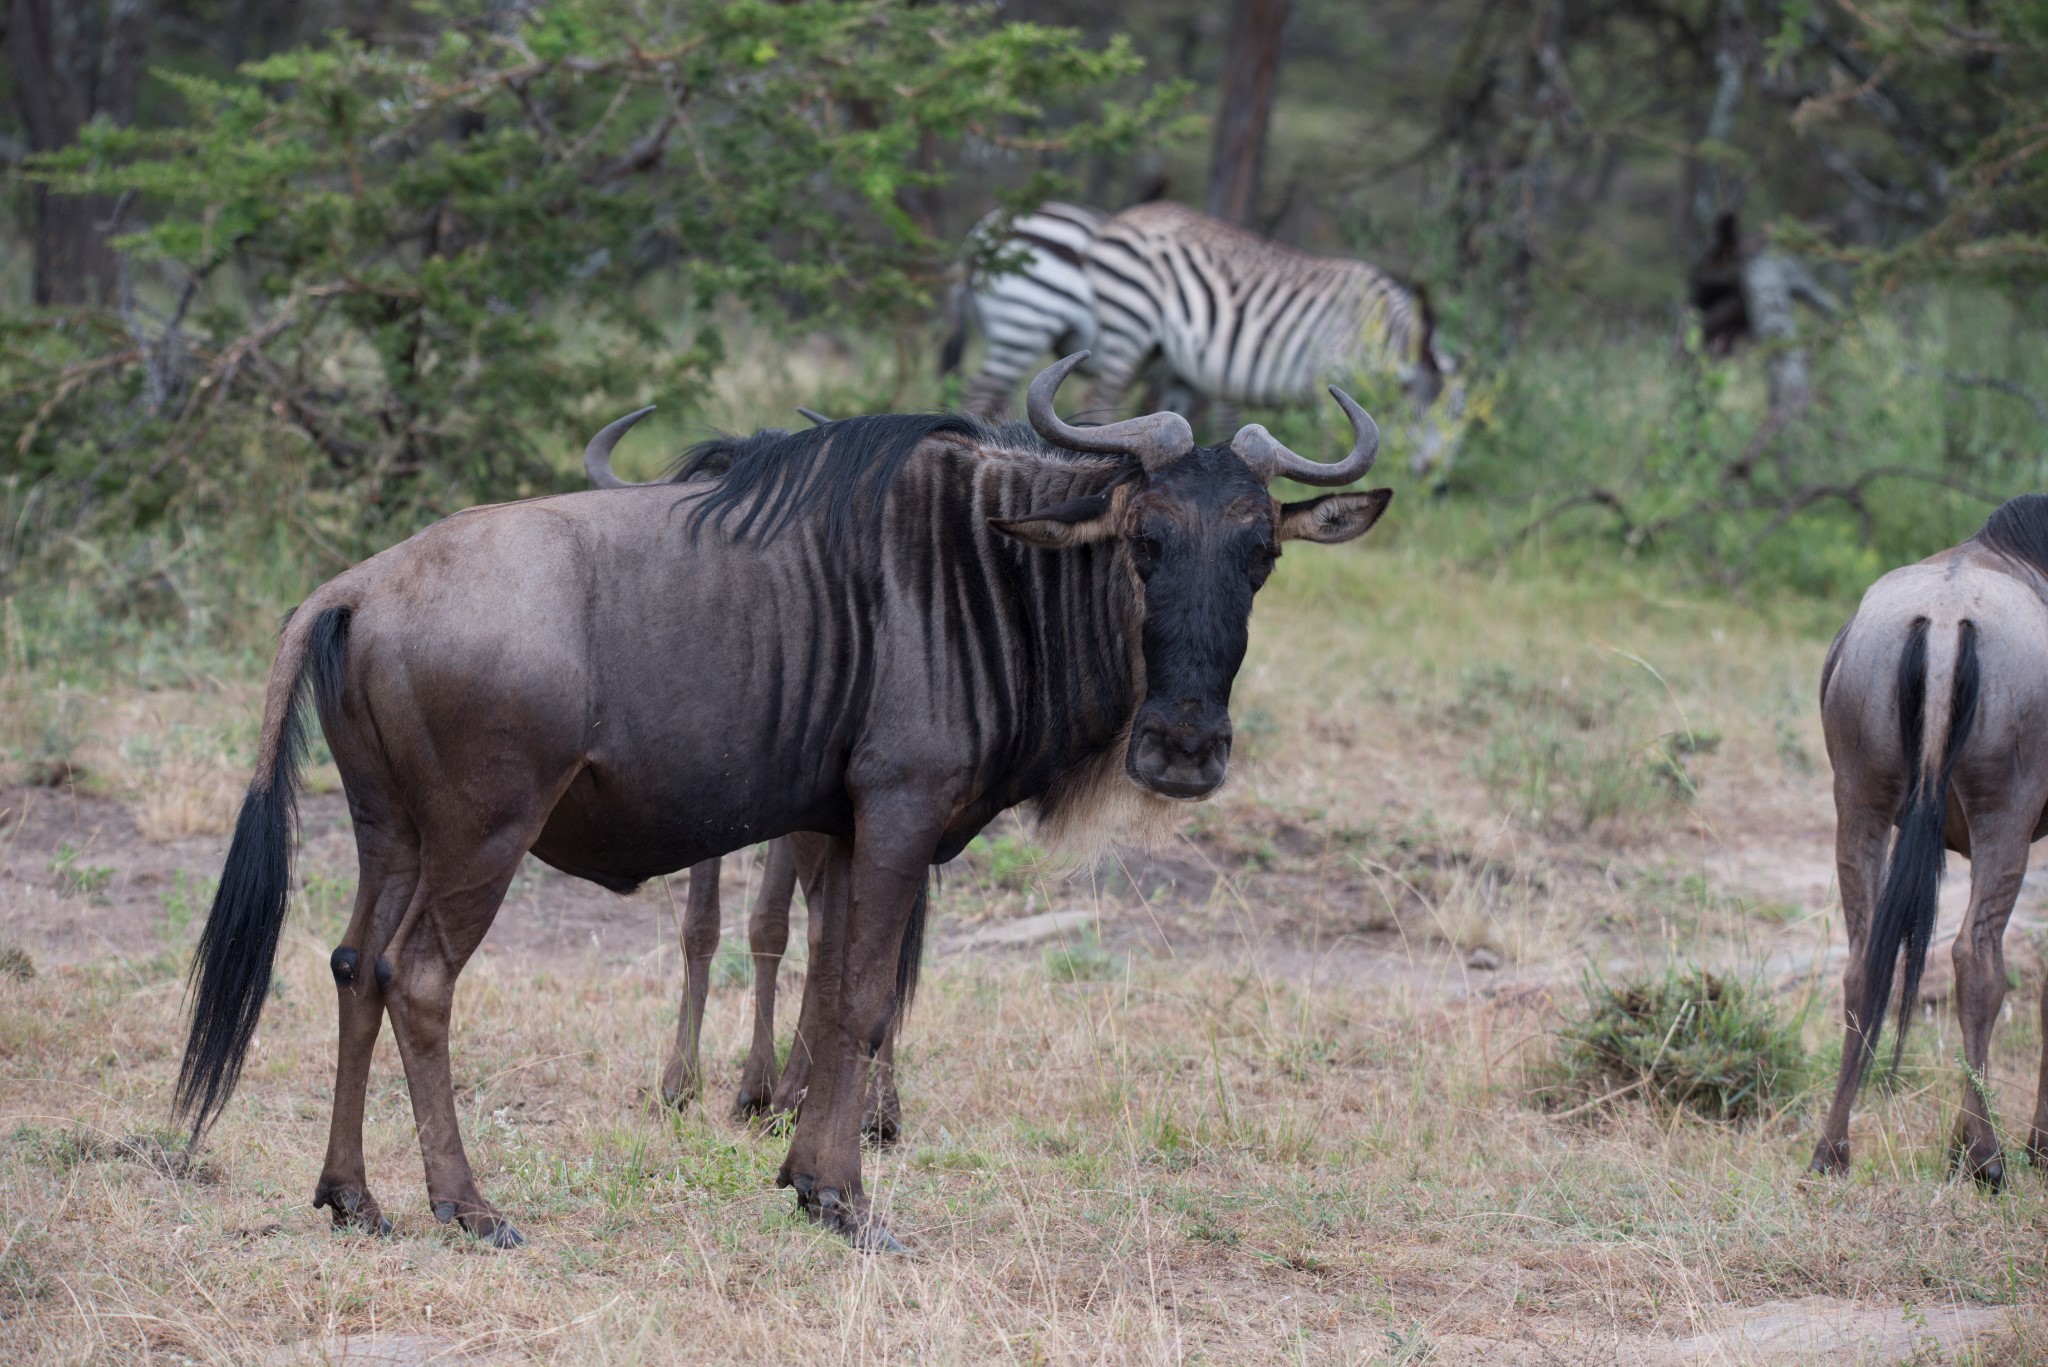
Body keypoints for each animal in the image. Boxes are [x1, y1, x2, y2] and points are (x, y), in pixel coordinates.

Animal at [1081, 200, 1466, 479]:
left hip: (1161, 350)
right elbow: (1331, 447)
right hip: (1128, 323)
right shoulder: (1329, 376)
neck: (1380, 336)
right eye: (1433, 412)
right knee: (1101, 395)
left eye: (1459, 417)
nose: (1437, 483)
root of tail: (1126, 216)